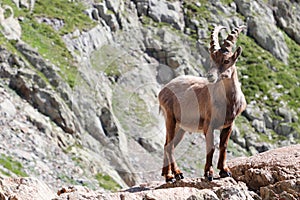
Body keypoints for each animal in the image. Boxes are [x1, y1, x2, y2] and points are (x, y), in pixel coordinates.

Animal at [158, 25, 247, 182]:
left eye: (226, 61)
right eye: (212, 60)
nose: (210, 76)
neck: (228, 102)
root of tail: (164, 89)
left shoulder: (229, 125)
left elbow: (223, 145)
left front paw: (224, 171)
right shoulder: (208, 125)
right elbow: (211, 147)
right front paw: (209, 173)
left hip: (180, 127)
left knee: (167, 144)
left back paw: (169, 175)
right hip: (170, 118)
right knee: (169, 146)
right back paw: (176, 173)